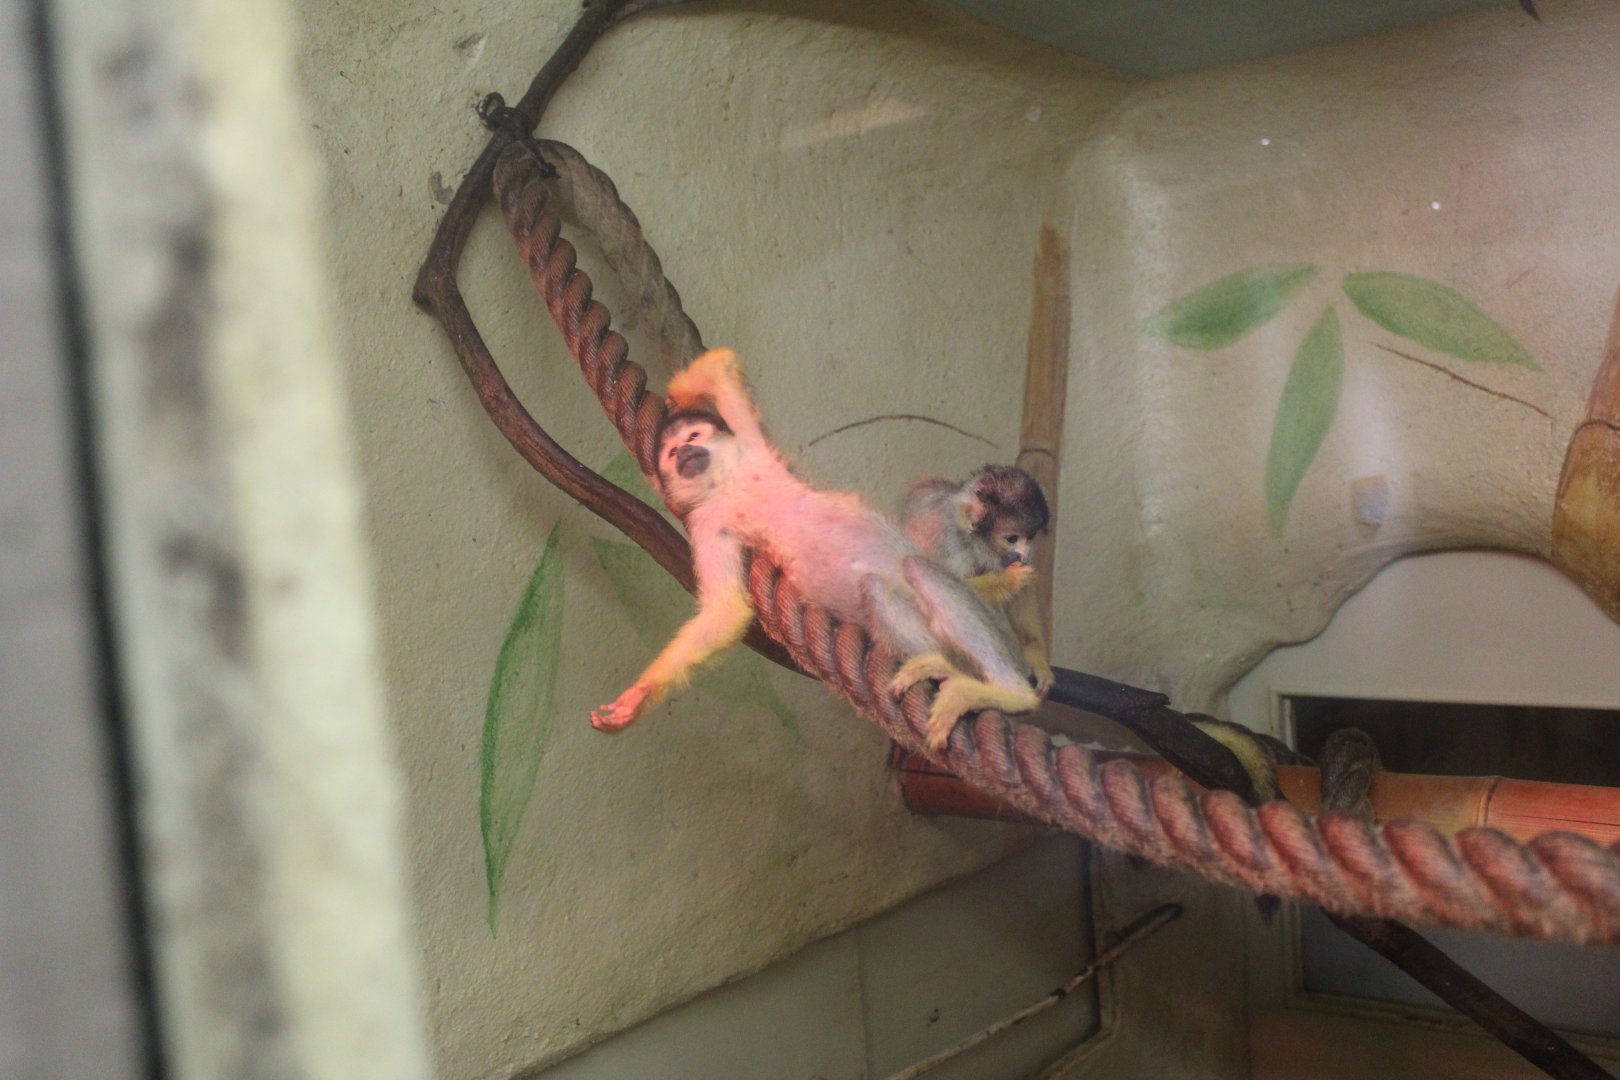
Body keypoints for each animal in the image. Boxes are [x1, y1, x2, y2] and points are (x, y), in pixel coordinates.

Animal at [901, 466, 1055, 694]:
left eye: (1030, 537)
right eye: (1012, 539)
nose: (1025, 554)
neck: (972, 541)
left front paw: (1037, 659)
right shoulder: (950, 542)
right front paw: (1007, 580)